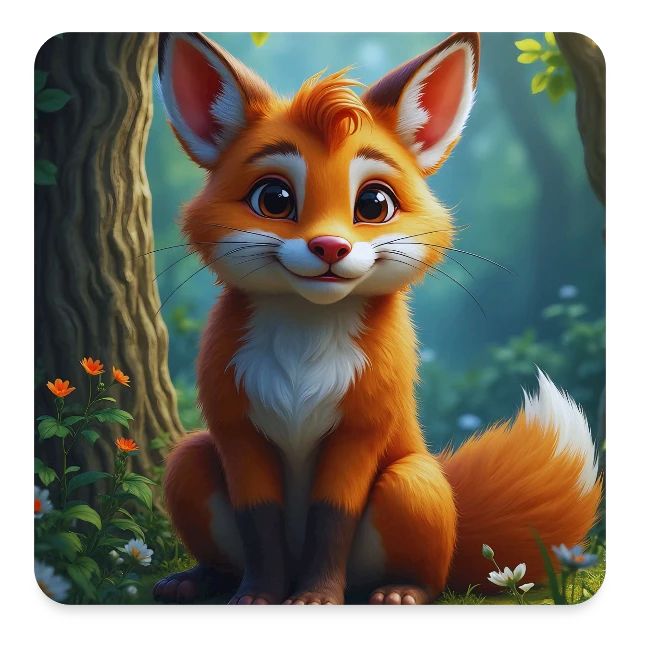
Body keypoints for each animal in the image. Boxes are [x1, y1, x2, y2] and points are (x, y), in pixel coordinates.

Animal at [152, 32, 602, 605]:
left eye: (374, 204)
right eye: (274, 198)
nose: (329, 246)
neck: (305, 349)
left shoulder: (361, 427)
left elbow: (332, 519)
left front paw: (315, 599)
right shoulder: (236, 428)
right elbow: (261, 524)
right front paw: (258, 597)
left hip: (412, 483)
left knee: (433, 577)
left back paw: (399, 591)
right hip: (188, 461)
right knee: (219, 534)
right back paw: (200, 579)